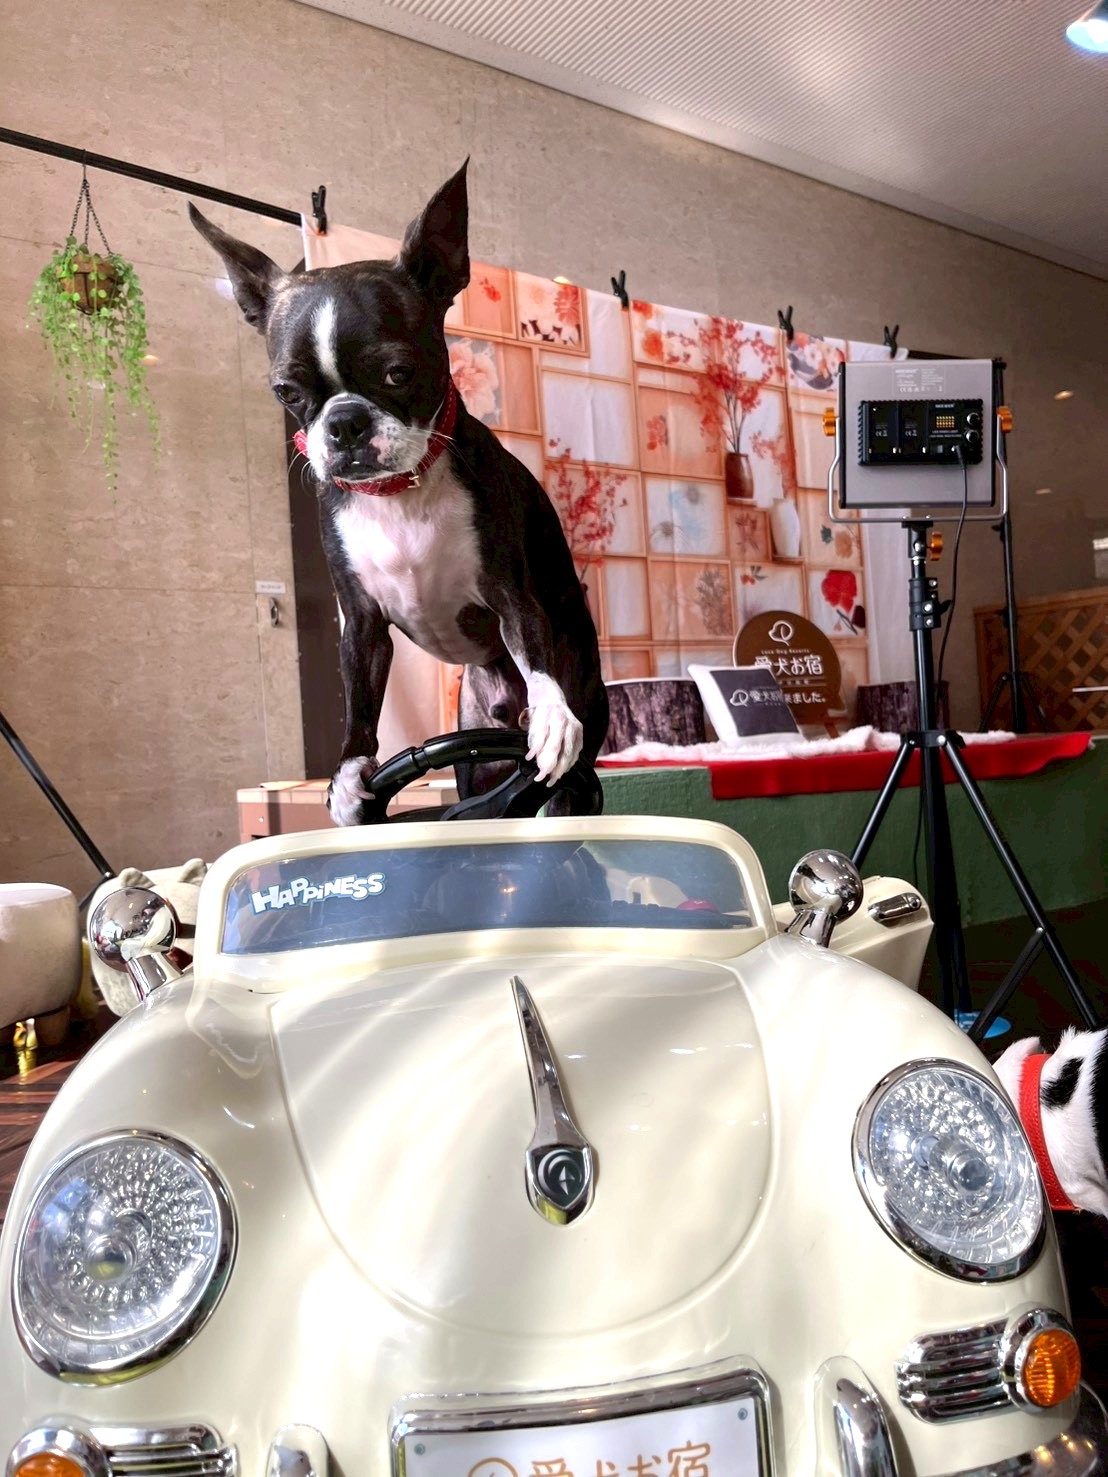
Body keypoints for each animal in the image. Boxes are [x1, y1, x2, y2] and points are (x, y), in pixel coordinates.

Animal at [190, 162, 607, 823]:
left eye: (397, 374)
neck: (398, 491)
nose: (344, 423)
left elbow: (534, 647)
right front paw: (347, 779)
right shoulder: (360, 620)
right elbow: (360, 702)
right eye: (287, 393)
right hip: (477, 752)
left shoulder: (510, 593)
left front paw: (551, 717)